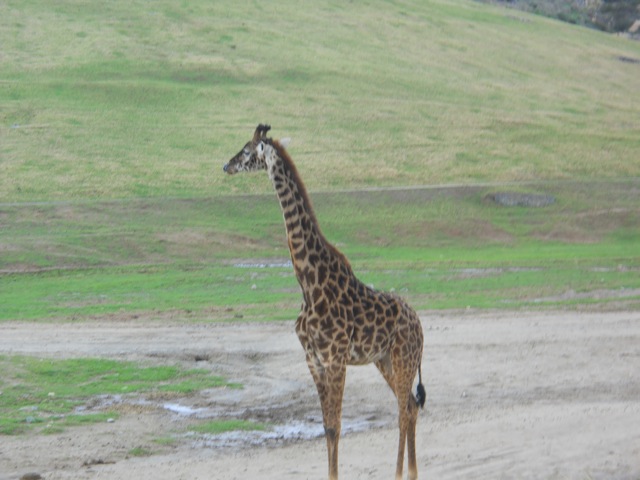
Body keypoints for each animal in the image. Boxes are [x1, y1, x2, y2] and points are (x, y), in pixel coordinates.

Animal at [223, 124, 425, 480]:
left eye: (247, 151)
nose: (226, 166)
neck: (308, 282)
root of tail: (421, 326)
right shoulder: (313, 359)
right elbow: (327, 428)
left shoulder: (334, 359)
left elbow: (336, 426)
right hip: (384, 360)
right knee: (411, 407)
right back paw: (410, 472)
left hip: (403, 358)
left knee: (404, 409)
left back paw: (402, 473)